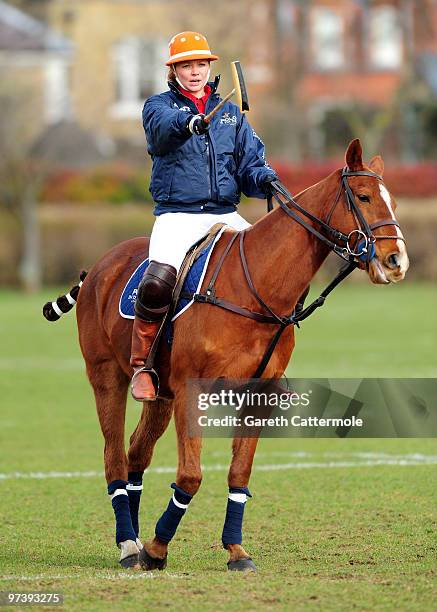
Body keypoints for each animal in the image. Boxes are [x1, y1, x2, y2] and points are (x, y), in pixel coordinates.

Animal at [42, 139, 408, 568]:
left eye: (393, 202)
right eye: (364, 196)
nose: (396, 261)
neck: (257, 288)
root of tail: (98, 267)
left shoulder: (257, 393)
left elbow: (239, 473)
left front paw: (235, 551)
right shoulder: (192, 389)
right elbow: (190, 474)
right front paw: (157, 547)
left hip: (160, 393)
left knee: (136, 452)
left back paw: (130, 537)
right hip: (106, 377)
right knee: (114, 456)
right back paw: (131, 545)